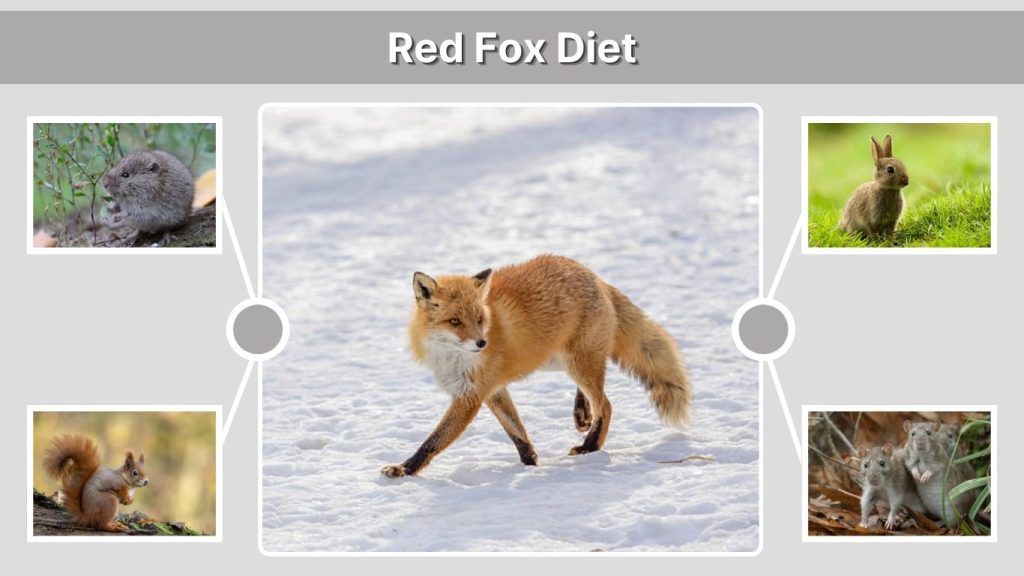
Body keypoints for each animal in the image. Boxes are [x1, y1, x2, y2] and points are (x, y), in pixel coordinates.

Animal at [381, 254, 691, 478]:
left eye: (479, 319)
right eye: (454, 321)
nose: (481, 343)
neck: (450, 358)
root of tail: (592, 274)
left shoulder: (471, 396)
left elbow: (433, 441)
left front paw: (404, 469)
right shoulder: (492, 390)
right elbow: (516, 431)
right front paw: (530, 463)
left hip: (576, 362)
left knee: (606, 403)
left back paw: (590, 446)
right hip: (557, 361)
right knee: (595, 396)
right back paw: (582, 414)